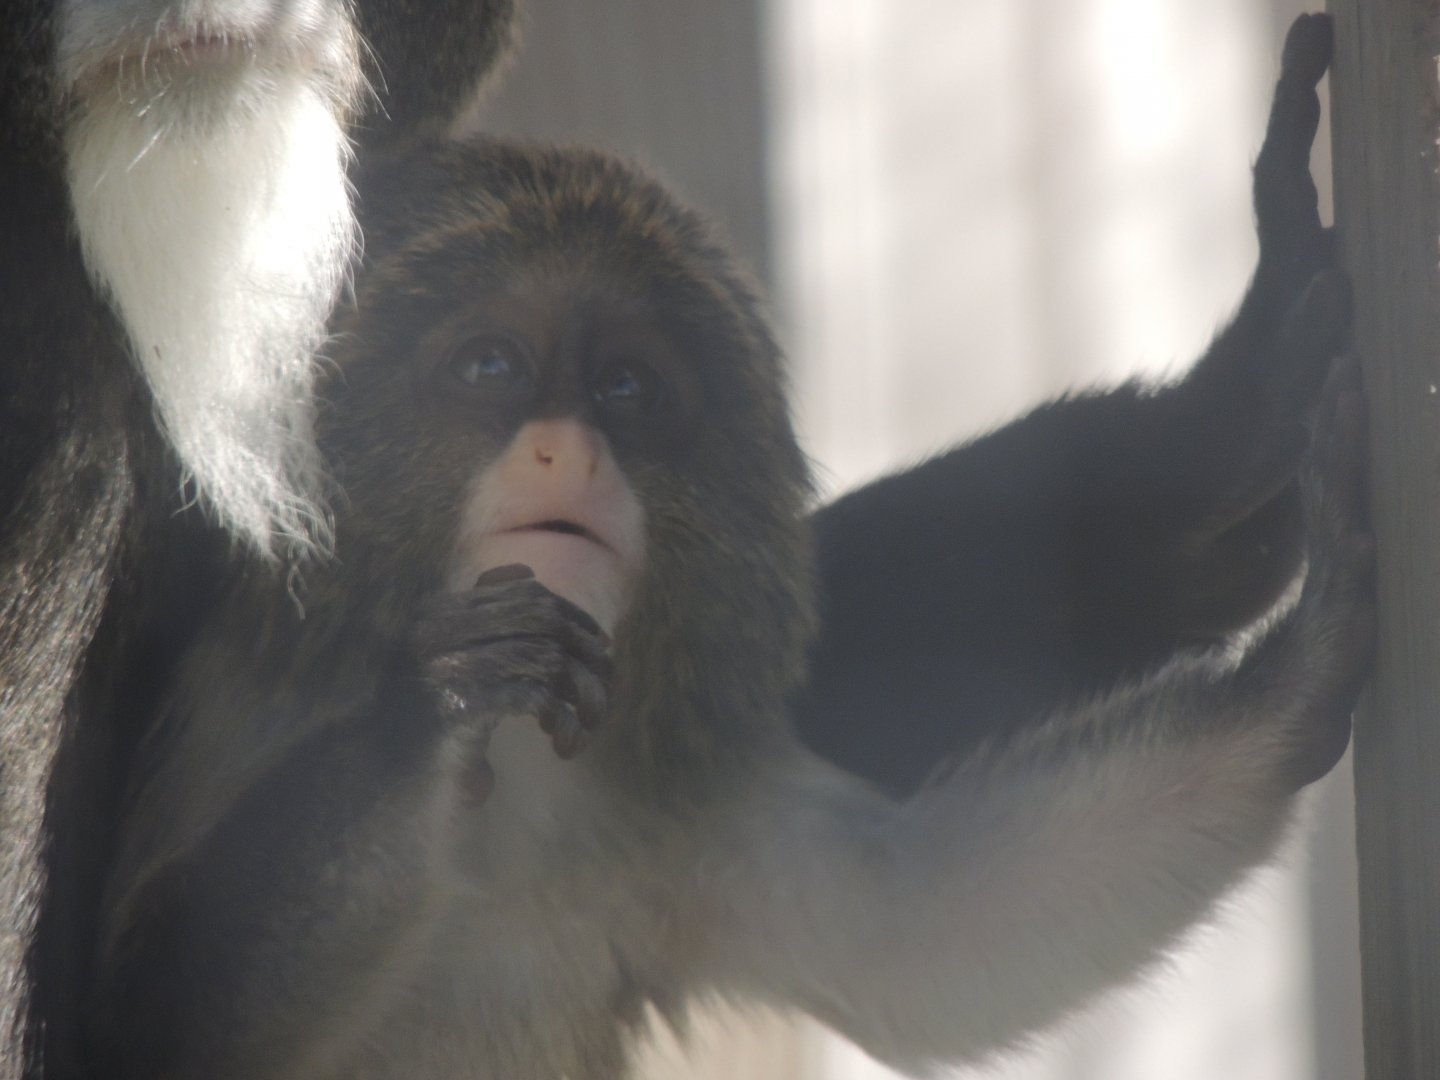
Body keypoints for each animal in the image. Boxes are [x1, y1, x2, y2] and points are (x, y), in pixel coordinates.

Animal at [82, 18, 1370, 1077]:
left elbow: (907, 932)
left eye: (625, 387)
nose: (566, 451)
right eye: (493, 366)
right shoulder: (219, 710)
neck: (515, 792)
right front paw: (442, 699)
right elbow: (144, 1023)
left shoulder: (672, 804)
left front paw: (1306, 657)